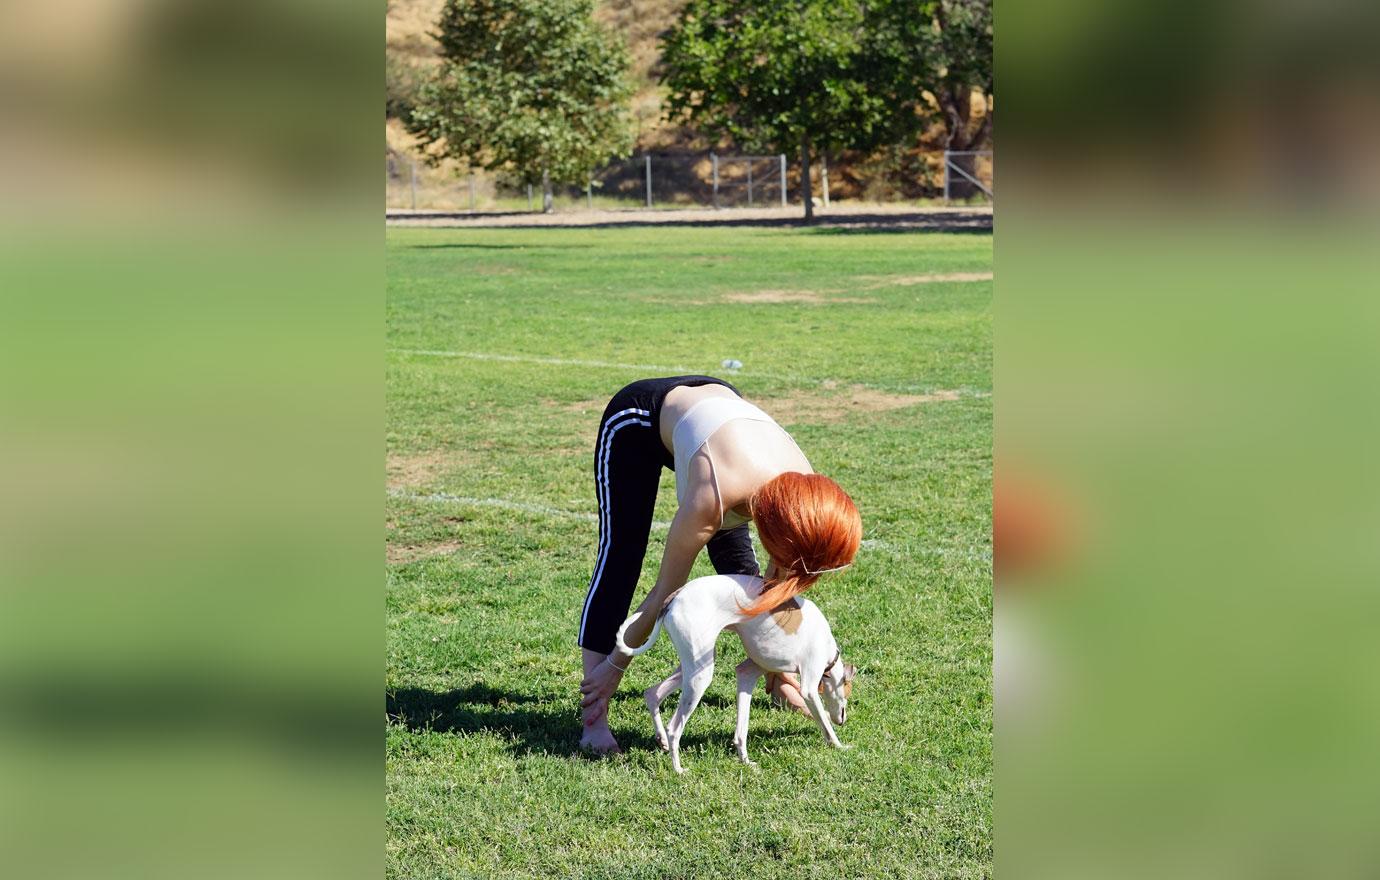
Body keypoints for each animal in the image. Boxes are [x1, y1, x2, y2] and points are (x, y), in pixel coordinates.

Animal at [615, 573, 850, 772]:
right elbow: (823, 721)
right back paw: (678, 769)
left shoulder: (748, 673)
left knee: (652, 693)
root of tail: (675, 596)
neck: (829, 650)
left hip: (695, 663)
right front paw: (839, 745)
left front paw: (745, 760)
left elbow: (741, 729)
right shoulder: (809, 684)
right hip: (700, 674)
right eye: (848, 692)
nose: (843, 720)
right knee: (674, 727)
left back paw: (661, 739)